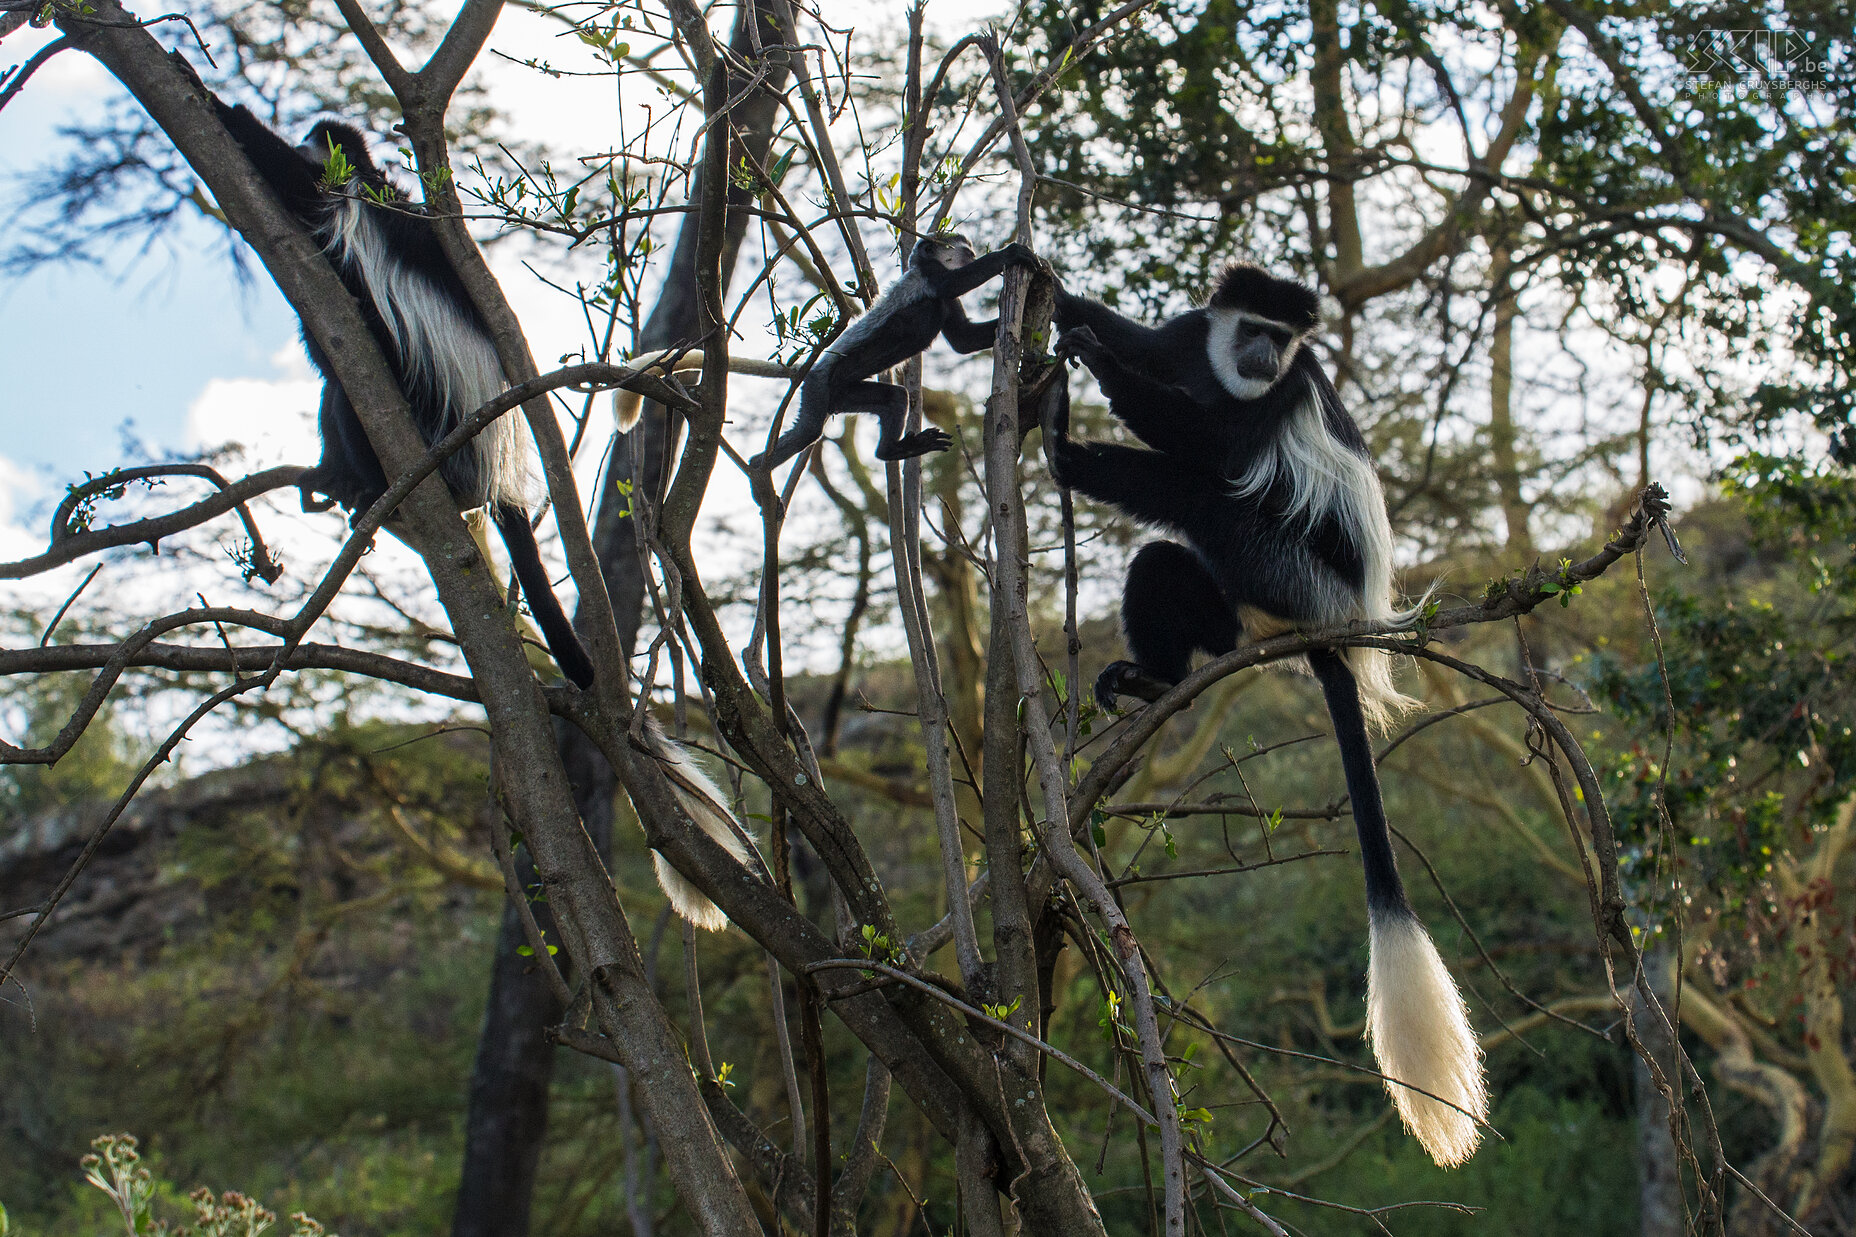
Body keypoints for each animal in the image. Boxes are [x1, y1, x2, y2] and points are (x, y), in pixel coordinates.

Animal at [753, 231, 1046, 468]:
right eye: (965, 250)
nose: (972, 253)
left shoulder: (946, 298)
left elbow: (965, 340)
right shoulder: (930, 275)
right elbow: (953, 285)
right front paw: (1010, 254)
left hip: (842, 396)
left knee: (893, 399)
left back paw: (888, 451)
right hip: (818, 386)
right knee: (809, 431)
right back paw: (758, 472)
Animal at [1046, 261, 1492, 1166]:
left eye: (1283, 340)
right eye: (1251, 326)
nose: (1260, 353)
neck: (1236, 378)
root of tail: (1337, 629)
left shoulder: (1280, 400)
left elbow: (1211, 443)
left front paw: (1095, 359)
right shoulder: (1191, 337)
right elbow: (1150, 343)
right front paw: (1041, 284)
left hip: (1292, 574)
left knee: (1205, 493)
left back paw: (1074, 459)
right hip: (1249, 601)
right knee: (1167, 560)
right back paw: (1155, 677)